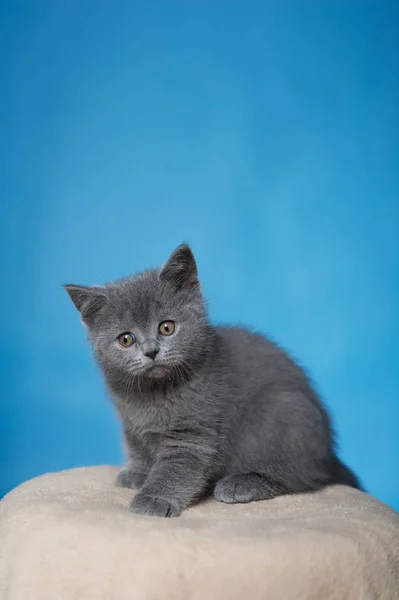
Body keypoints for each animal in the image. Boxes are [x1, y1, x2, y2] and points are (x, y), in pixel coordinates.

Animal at [65, 244, 362, 516]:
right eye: (126, 339)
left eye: (167, 327)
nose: (151, 351)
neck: (152, 393)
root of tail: (328, 453)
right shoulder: (130, 423)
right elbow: (137, 446)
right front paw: (137, 473)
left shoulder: (192, 435)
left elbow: (174, 469)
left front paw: (154, 498)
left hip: (282, 410)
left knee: (303, 476)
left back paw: (243, 484)